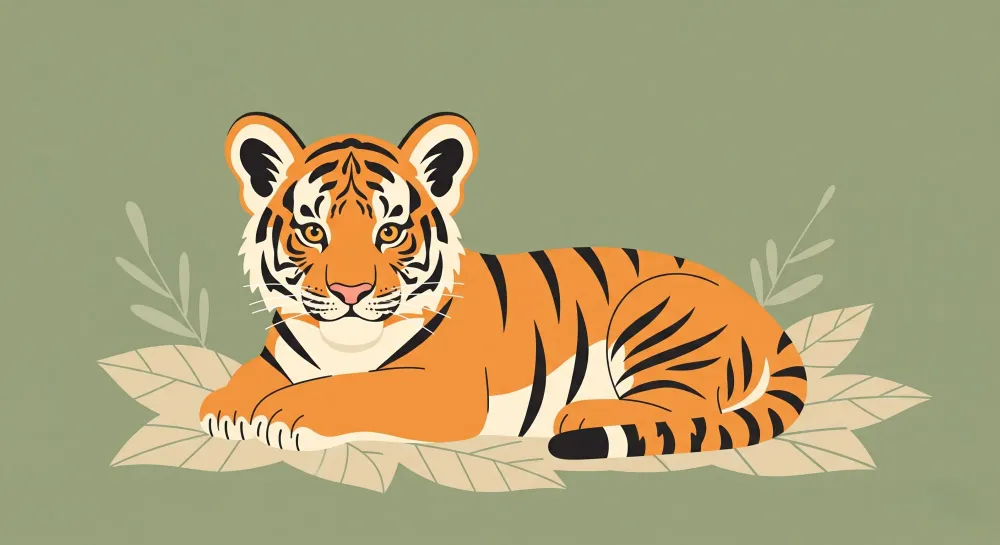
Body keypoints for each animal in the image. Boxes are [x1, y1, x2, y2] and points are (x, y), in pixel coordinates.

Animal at [198, 111, 808, 460]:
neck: (344, 345)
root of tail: (757, 309)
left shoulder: (442, 389)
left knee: (684, 409)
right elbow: (255, 376)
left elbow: (351, 389)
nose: (351, 293)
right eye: (313, 232)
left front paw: (281, 414)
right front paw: (227, 408)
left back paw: (588, 414)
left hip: (656, 306)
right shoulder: (280, 356)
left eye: (389, 232)